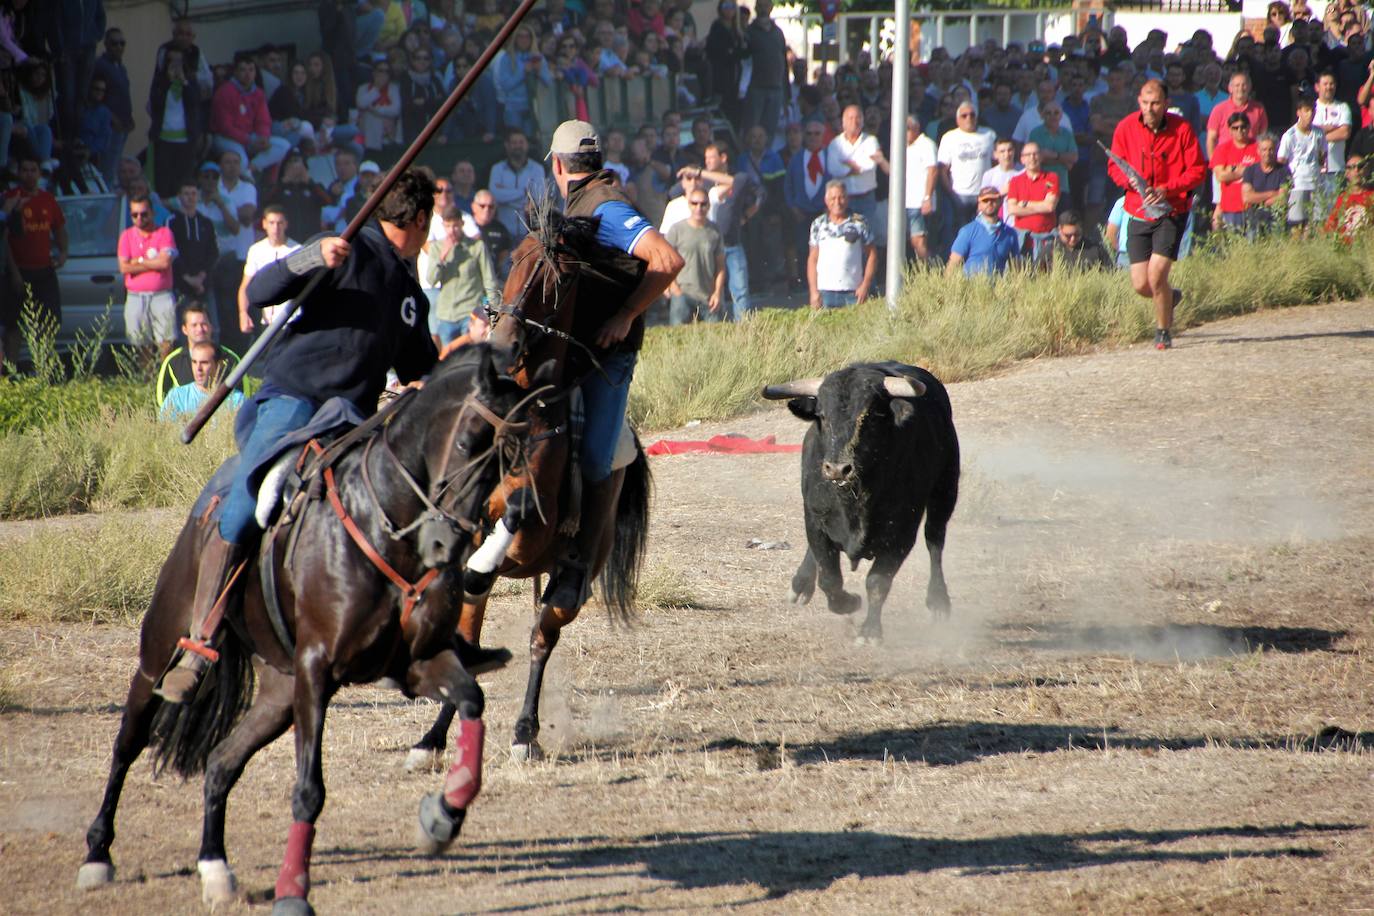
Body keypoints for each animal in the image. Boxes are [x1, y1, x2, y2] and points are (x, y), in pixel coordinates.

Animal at [77, 347, 544, 911]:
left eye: (510, 459)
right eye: (467, 441)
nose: (446, 546)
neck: (384, 521)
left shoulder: (415, 662)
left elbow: (472, 699)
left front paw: (442, 816)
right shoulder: (317, 669)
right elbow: (309, 791)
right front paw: (293, 891)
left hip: (279, 693)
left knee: (220, 763)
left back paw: (215, 867)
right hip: (161, 655)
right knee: (128, 743)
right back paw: (98, 853)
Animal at [403, 207, 651, 769]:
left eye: (563, 280)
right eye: (514, 259)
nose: (505, 343)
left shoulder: (535, 522)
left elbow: (514, 515)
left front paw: (484, 558)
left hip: (568, 585)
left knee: (542, 638)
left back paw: (524, 731)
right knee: (466, 641)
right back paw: (432, 738)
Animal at [763, 362, 956, 642]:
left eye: (870, 417)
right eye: (822, 416)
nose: (837, 469)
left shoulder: (901, 534)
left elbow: (877, 582)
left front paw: (870, 632)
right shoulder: (815, 520)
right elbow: (830, 579)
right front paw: (850, 602)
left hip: (945, 490)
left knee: (935, 540)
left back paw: (939, 601)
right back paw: (800, 585)